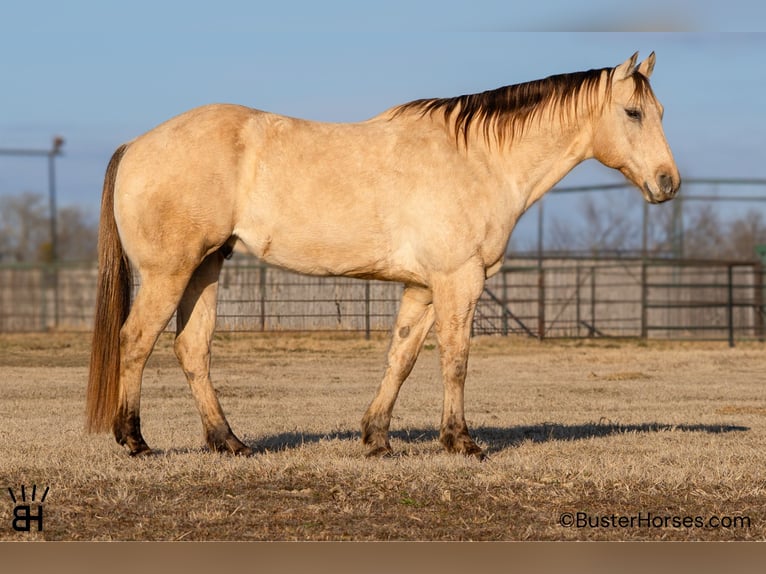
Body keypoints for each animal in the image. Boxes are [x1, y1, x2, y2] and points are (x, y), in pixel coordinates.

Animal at [86, 52, 680, 459]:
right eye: (632, 112)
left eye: (660, 111)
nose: (667, 183)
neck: (478, 160)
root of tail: (137, 145)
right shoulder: (458, 281)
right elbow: (455, 361)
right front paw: (461, 442)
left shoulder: (422, 288)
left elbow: (402, 358)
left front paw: (376, 439)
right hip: (169, 272)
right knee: (135, 341)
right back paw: (134, 441)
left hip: (204, 270)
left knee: (192, 350)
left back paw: (228, 442)